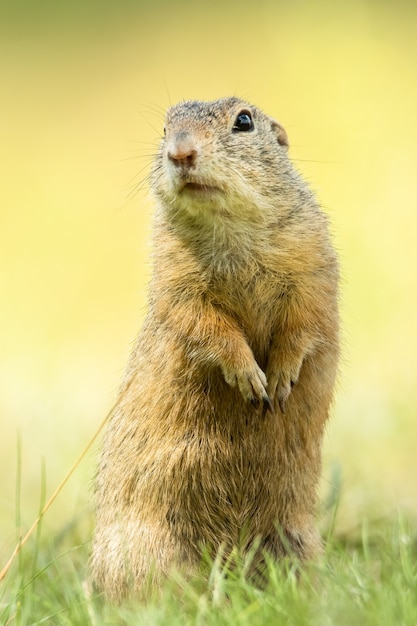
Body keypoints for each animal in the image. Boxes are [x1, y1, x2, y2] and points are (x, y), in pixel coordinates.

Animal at [90, 95, 338, 596]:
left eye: (243, 121)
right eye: (165, 128)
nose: (180, 153)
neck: (230, 229)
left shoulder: (312, 260)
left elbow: (306, 320)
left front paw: (279, 381)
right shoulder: (176, 278)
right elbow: (205, 324)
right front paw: (249, 378)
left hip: (295, 540)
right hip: (147, 550)